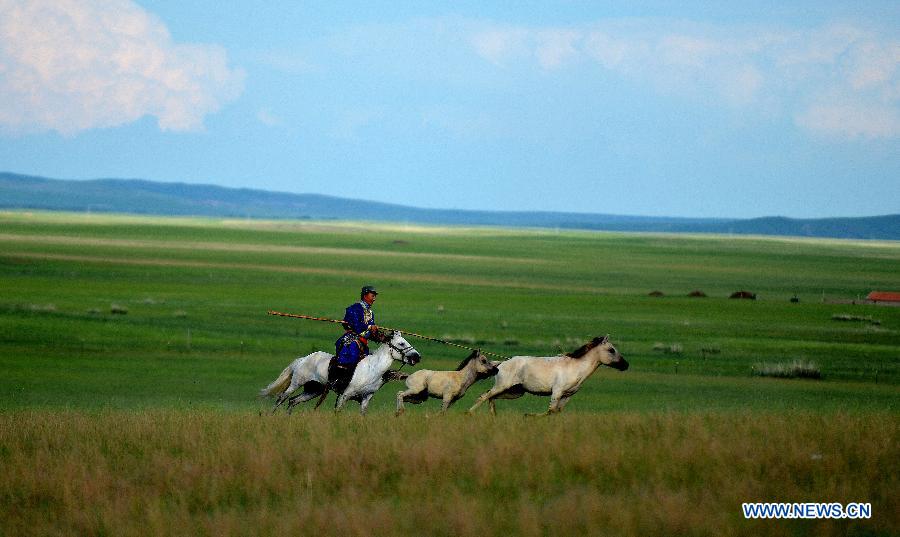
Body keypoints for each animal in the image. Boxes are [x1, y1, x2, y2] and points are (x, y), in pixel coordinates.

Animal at [256, 330, 418, 414]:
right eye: (401, 343)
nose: (417, 357)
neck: (372, 369)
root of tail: (303, 359)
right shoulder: (345, 395)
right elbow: (338, 411)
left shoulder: (366, 398)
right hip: (296, 384)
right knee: (281, 398)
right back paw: (272, 416)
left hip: (314, 390)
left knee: (293, 401)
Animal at [468, 332, 628, 416]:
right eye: (611, 350)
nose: (626, 365)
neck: (576, 368)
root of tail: (501, 364)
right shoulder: (557, 391)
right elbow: (550, 410)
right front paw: (528, 416)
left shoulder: (567, 396)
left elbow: (556, 411)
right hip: (503, 386)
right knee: (484, 396)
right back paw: (469, 413)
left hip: (515, 392)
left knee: (490, 397)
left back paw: (493, 416)